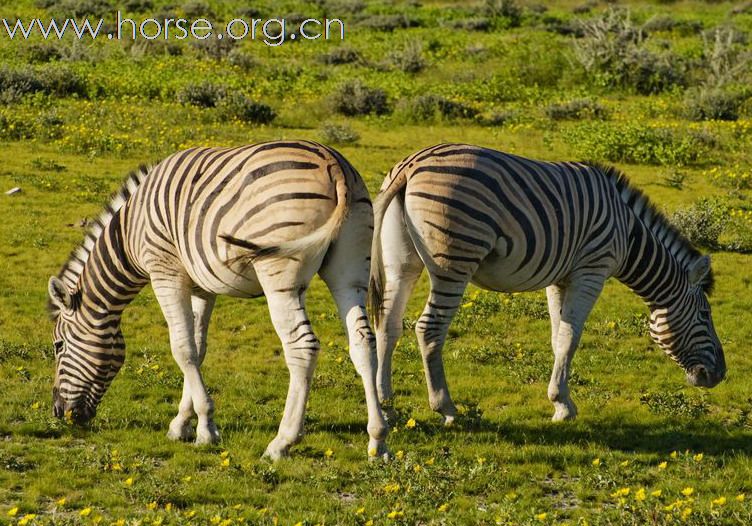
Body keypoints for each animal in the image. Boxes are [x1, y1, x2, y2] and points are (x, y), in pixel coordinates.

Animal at [47, 141, 390, 462]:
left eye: (58, 346)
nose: (58, 412)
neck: (130, 232)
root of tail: (333, 164)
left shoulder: (165, 272)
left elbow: (182, 348)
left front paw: (207, 429)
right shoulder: (201, 286)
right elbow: (197, 348)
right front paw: (183, 424)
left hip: (279, 274)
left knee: (302, 347)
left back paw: (282, 442)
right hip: (349, 270)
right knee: (363, 342)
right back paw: (378, 439)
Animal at [368, 142, 724, 426]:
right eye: (705, 315)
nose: (720, 375)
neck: (629, 233)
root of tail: (410, 165)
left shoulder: (559, 279)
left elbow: (557, 337)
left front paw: (559, 400)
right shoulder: (591, 270)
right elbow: (570, 337)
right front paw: (564, 407)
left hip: (401, 261)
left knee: (389, 322)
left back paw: (387, 404)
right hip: (455, 259)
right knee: (428, 329)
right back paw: (447, 408)